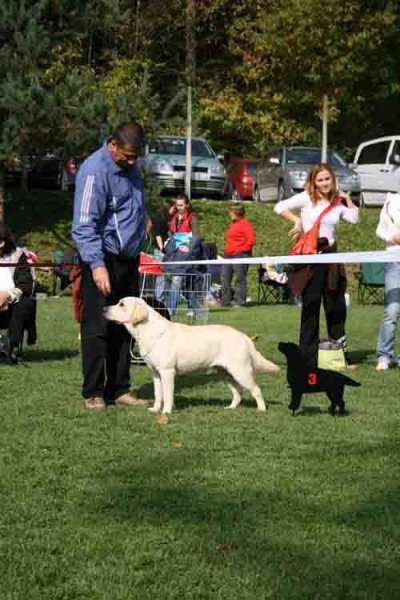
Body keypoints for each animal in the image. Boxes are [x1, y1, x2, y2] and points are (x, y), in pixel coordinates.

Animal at [104, 298, 278, 414]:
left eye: (121, 304)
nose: (104, 308)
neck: (148, 330)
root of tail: (244, 337)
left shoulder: (167, 372)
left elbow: (167, 394)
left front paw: (166, 412)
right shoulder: (155, 373)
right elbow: (158, 394)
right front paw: (155, 409)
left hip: (240, 371)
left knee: (256, 389)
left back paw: (261, 409)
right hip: (225, 372)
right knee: (238, 392)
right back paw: (230, 407)